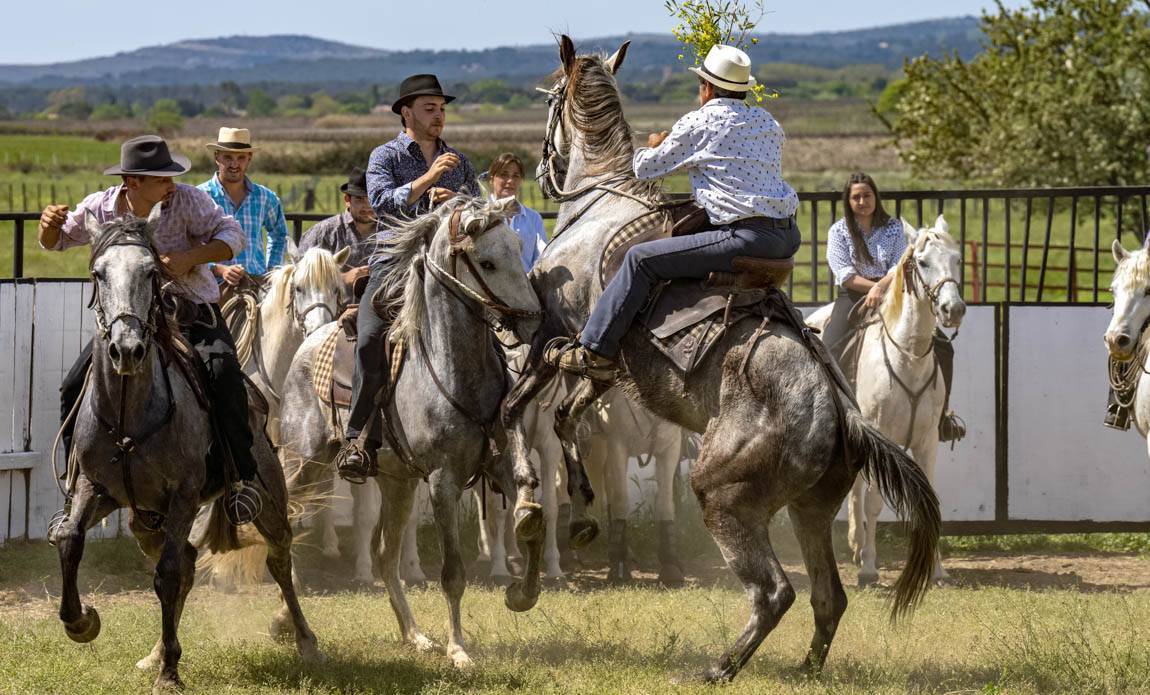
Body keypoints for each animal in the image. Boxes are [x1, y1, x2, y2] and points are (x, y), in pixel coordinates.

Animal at [54, 209, 319, 690]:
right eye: (98, 274)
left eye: (151, 272)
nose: (126, 349)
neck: (129, 415)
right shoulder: (94, 488)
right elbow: (69, 539)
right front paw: (82, 622)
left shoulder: (182, 495)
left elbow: (168, 574)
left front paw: (170, 673)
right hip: (144, 521)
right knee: (190, 562)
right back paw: (156, 651)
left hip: (267, 498)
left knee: (278, 558)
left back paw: (305, 640)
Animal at [280, 195, 545, 667]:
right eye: (487, 262)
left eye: (518, 248)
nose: (534, 322)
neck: (452, 366)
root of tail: (313, 337)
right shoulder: (442, 481)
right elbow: (453, 572)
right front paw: (459, 650)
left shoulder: (500, 466)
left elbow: (531, 511)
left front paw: (522, 593)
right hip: (302, 461)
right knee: (285, 524)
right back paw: (288, 623)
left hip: (396, 481)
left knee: (385, 555)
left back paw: (415, 635)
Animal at [503, 35, 943, 681]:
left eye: (550, 98)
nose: (542, 172)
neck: (599, 209)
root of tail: (845, 416)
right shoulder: (603, 365)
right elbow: (564, 418)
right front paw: (578, 514)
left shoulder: (556, 332)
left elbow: (516, 409)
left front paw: (531, 505)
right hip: (810, 508)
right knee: (828, 596)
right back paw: (804, 669)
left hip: (723, 495)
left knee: (775, 592)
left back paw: (720, 667)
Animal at [814, 214, 966, 584]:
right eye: (922, 262)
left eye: (957, 259)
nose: (952, 309)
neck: (906, 358)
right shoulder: (881, 436)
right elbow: (872, 502)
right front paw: (869, 568)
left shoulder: (927, 442)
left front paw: (937, 570)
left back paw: (856, 546)